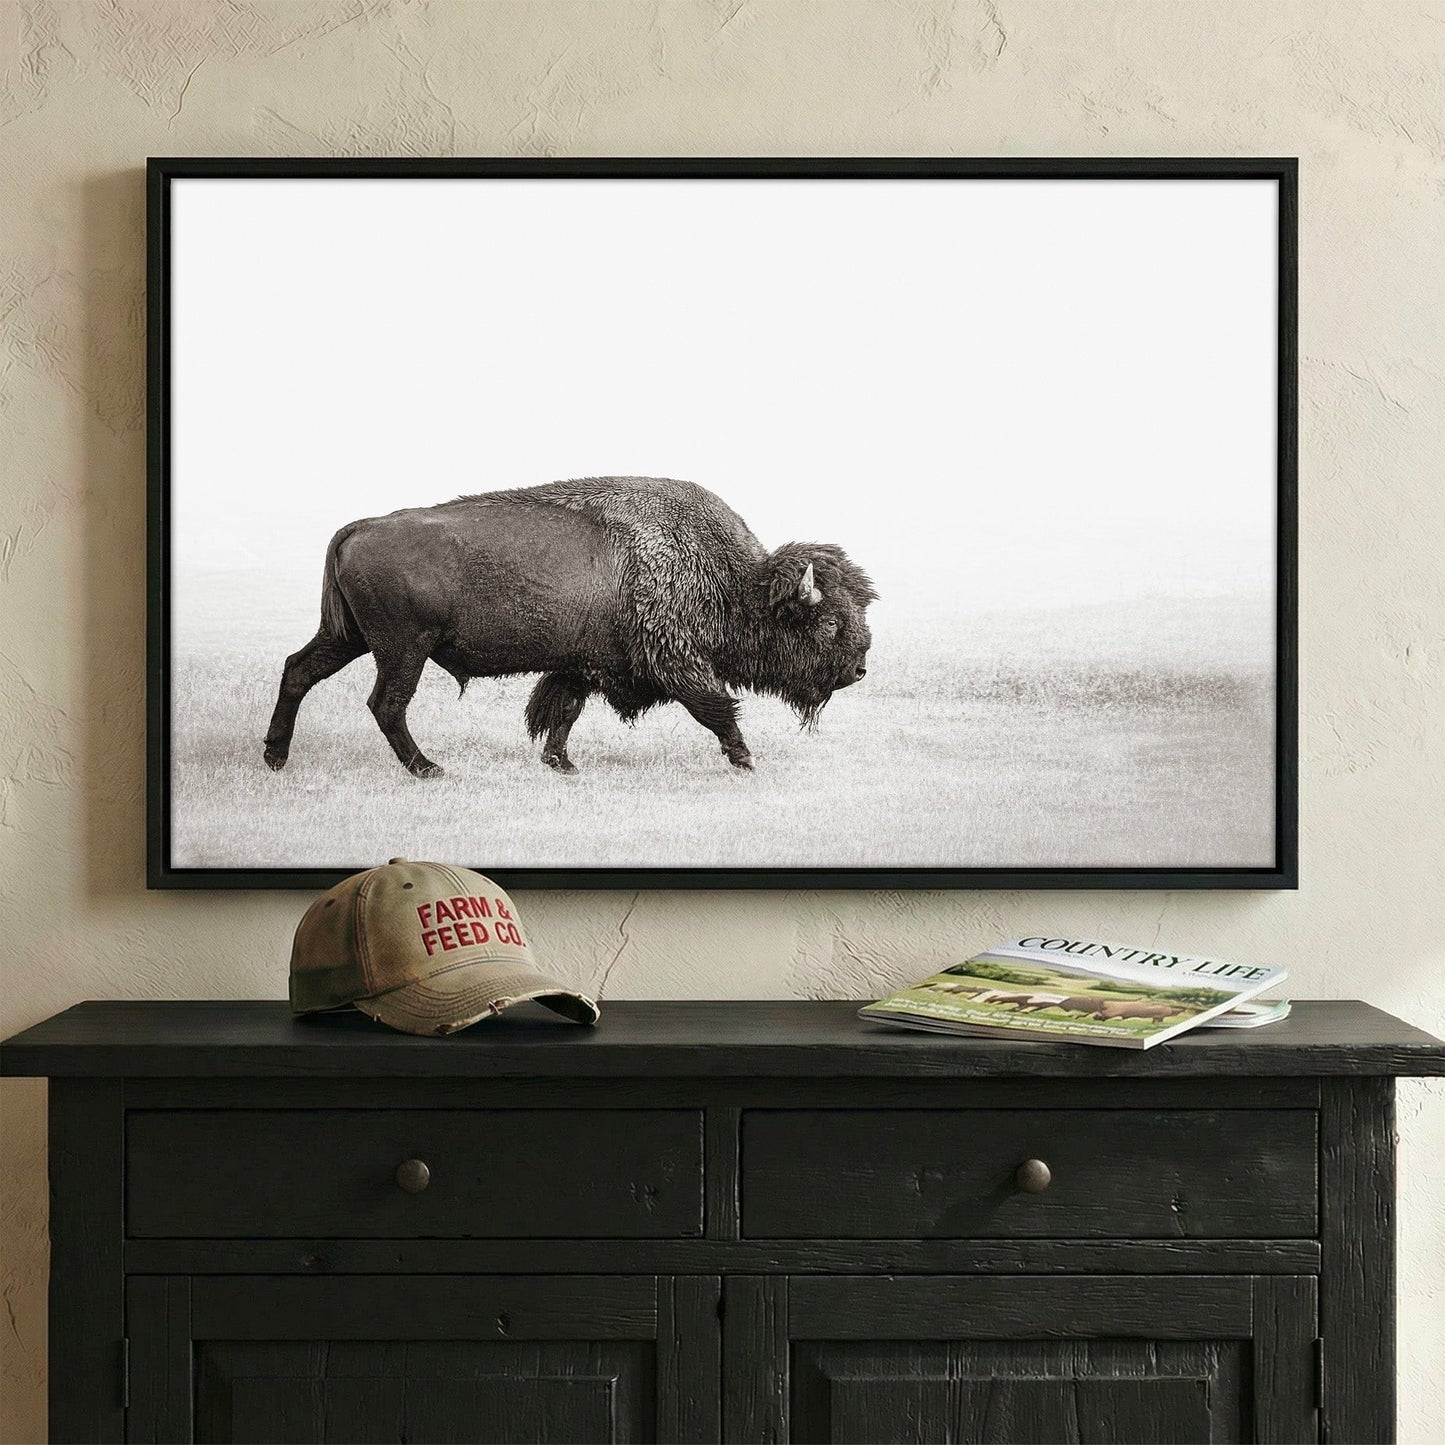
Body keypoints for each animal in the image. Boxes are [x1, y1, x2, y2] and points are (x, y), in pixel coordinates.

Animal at [264, 477, 876, 778]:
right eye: (826, 622)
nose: (859, 669)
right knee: (386, 703)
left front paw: (562, 764)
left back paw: (275, 758)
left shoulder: (580, 665)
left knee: (298, 671)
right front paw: (746, 761)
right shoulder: (678, 663)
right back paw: (428, 769)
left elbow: (561, 712)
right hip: (401, 649)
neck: (731, 579)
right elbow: (717, 709)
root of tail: (358, 527)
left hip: (348, 637)